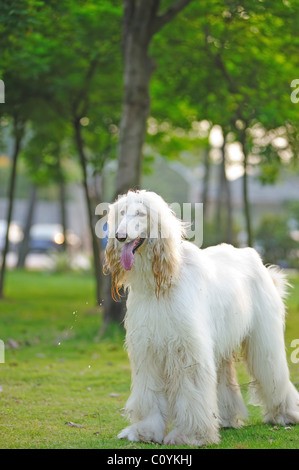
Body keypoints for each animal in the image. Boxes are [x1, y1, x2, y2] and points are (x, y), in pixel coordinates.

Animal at [104, 189, 298, 446]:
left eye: (141, 213)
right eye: (122, 213)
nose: (120, 236)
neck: (160, 283)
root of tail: (254, 258)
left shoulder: (186, 346)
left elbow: (191, 389)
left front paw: (190, 435)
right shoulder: (148, 347)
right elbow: (149, 390)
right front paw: (145, 431)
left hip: (264, 338)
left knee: (272, 370)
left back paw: (285, 414)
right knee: (224, 375)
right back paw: (225, 418)